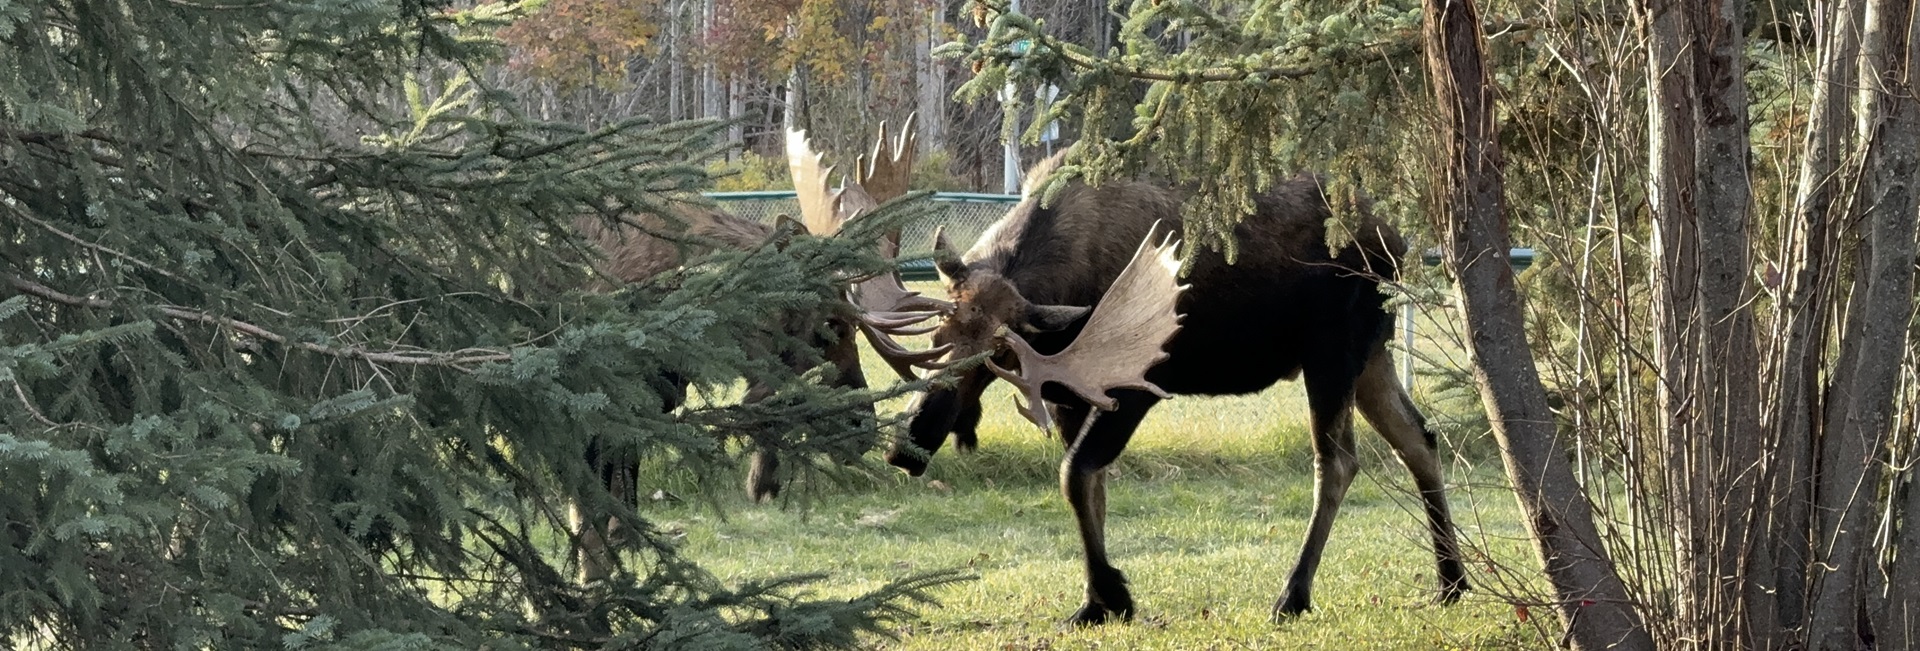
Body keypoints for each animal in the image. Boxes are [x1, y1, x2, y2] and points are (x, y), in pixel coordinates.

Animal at [880, 156, 1470, 625]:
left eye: (1000, 355)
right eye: (937, 333)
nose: (909, 444)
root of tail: (1398, 242)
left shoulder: (1137, 385)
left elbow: (1075, 474)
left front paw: (1113, 595)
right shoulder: (1069, 395)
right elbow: (1089, 485)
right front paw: (1097, 602)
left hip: (1331, 351)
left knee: (1339, 461)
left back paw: (1294, 595)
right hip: (1370, 354)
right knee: (1418, 439)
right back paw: (1451, 581)